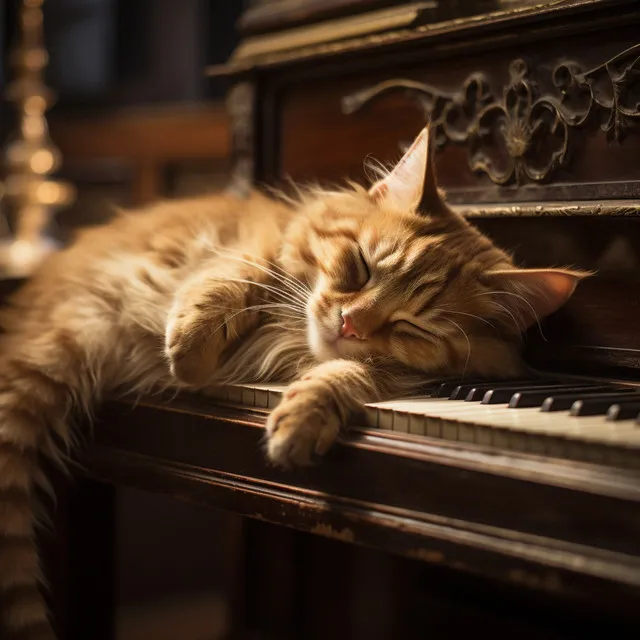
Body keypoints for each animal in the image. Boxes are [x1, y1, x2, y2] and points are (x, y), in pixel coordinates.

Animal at [0, 126, 584, 640]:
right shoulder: (259, 243)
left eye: (412, 326)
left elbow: (343, 376)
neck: (289, 334)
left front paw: (301, 421)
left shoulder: (384, 372)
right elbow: (236, 275)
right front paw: (187, 353)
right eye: (360, 267)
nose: (350, 325)